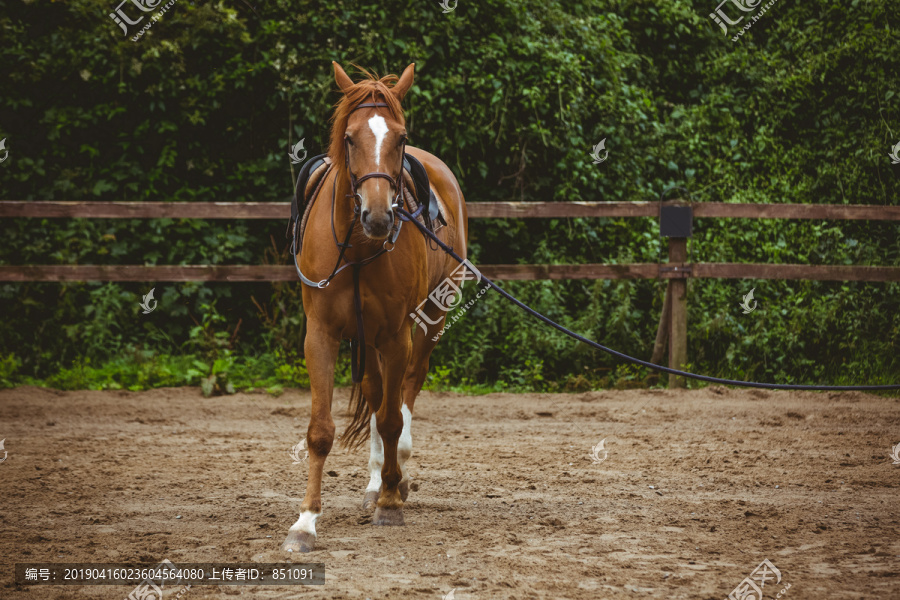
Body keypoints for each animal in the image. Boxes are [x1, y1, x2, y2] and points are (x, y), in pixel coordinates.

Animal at [284, 62, 472, 552]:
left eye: (400, 138)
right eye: (350, 138)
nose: (379, 216)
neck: (357, 248)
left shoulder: (396, 334)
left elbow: (390, 419)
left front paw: (390, 503)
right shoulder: (321, 335)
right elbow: (321, 430)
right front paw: (305, 522)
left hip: (430, 323)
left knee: (405, 393)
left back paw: (395, 478)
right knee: (375, 391)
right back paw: (375, 482)